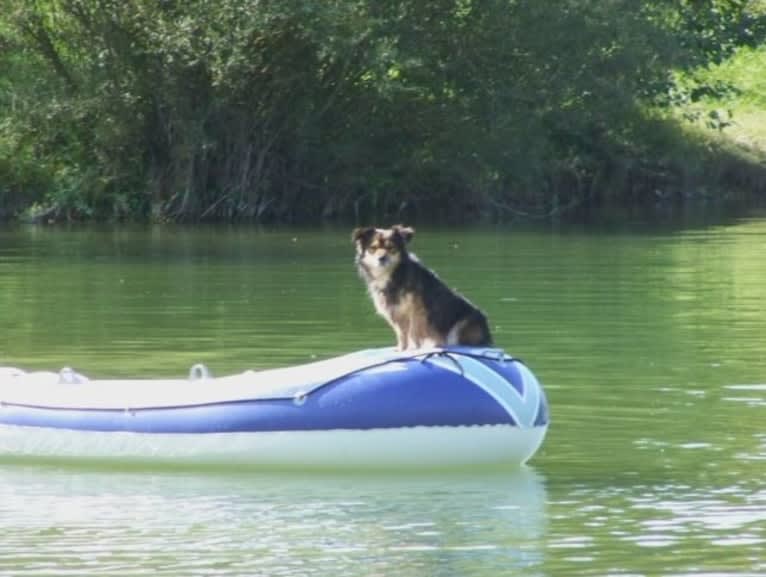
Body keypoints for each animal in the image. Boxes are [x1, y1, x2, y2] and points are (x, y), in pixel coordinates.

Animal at [356, 225, 496, 352]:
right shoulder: (394, 312)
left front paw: (413, 348)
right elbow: (401, 333)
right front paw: (401, 349)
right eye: (373, 248)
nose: (381, 258)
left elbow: (412, 331)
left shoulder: (417, 310)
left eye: (391, 248)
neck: (393, 275)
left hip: (461, 326)